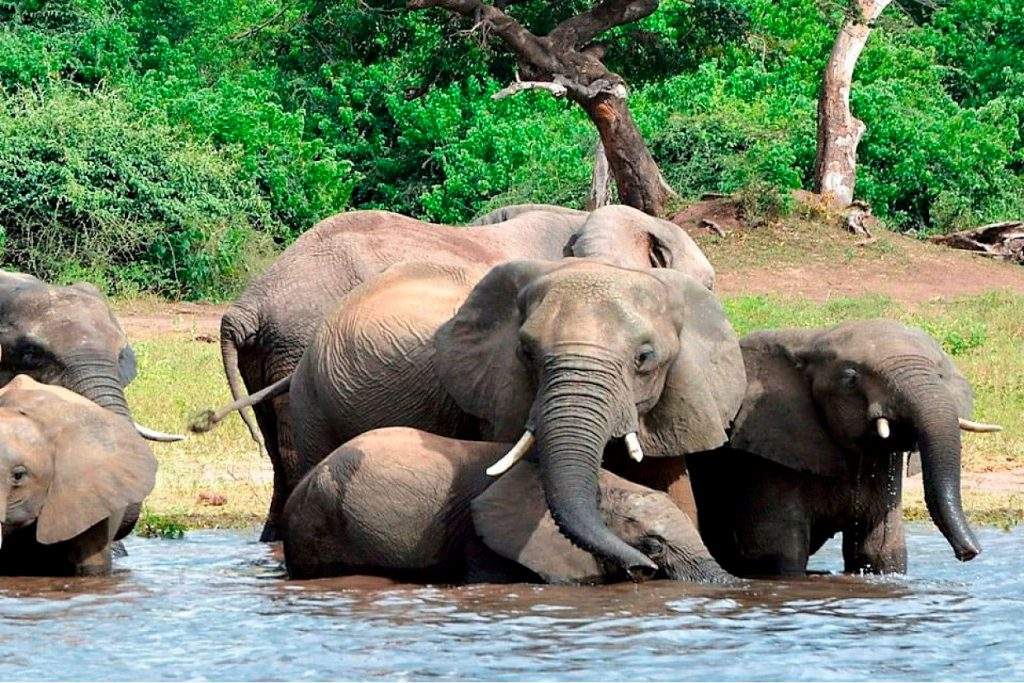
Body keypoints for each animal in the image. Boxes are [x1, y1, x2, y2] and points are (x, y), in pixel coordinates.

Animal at [684, 321, 995, 577]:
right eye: (850, 379)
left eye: (940, 376)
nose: (969, 554)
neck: (812, 339)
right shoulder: (766, 454)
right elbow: (780, 554)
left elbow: (880, 550)